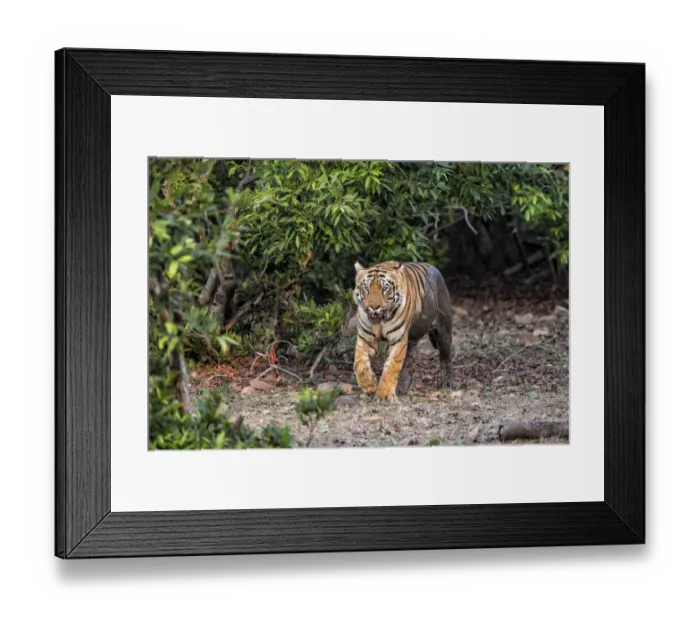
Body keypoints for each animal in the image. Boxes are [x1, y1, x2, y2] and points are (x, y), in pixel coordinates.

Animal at [352, 260, 454, 401]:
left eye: (385, 288)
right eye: (366, 288)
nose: (374, 307)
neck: (380, 321)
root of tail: (433, 266)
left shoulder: (397, 340)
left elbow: (392, 367)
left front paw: (384, 395)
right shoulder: (365, 339)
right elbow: (359, 363)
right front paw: (369, 386)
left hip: (443, 331)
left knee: (446, 358)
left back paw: (448, 382)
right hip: (411, 341)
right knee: (408, 363)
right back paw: (403, 388)